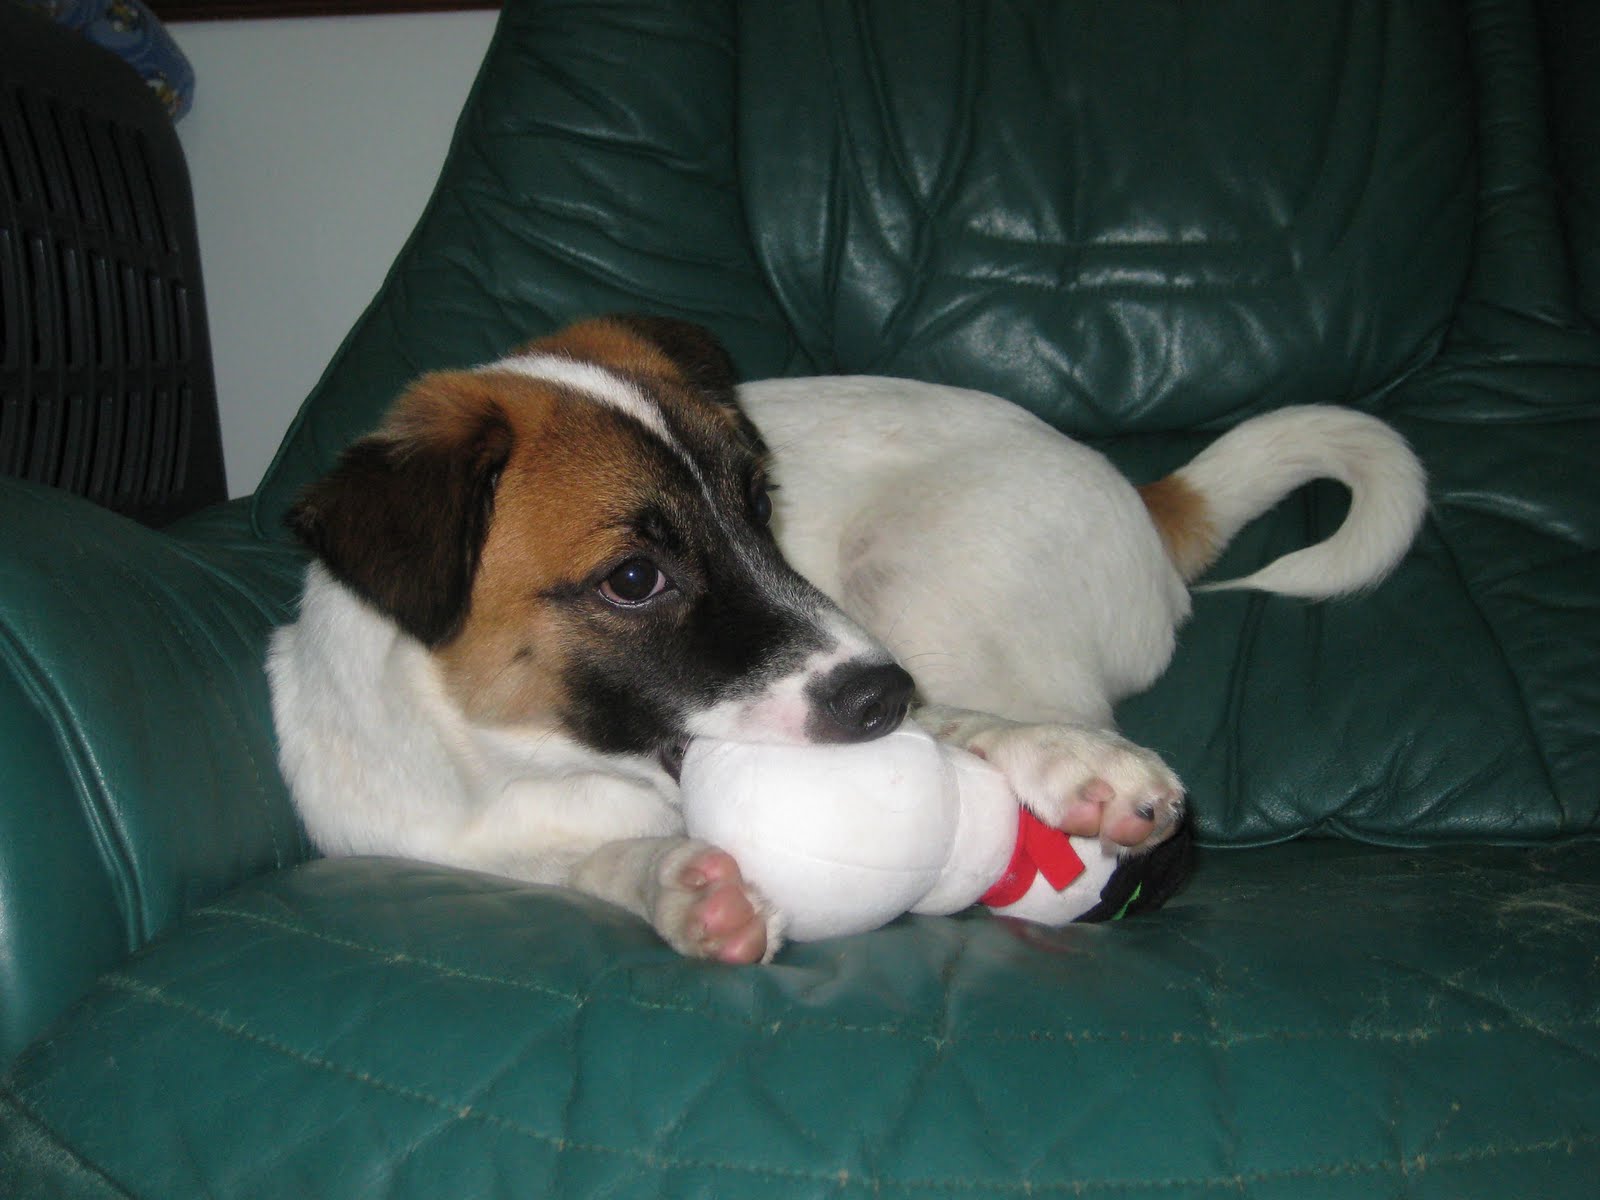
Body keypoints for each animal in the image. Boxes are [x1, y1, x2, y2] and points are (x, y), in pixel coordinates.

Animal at [268, 315, 1426, 963]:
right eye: (633, 580)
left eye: (758, 503)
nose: (883, 700)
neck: (530, 764)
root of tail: (1139, 495)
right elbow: (593, 865)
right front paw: (680, 890)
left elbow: (968, 727)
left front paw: (1067, 767)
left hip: (916, 568)